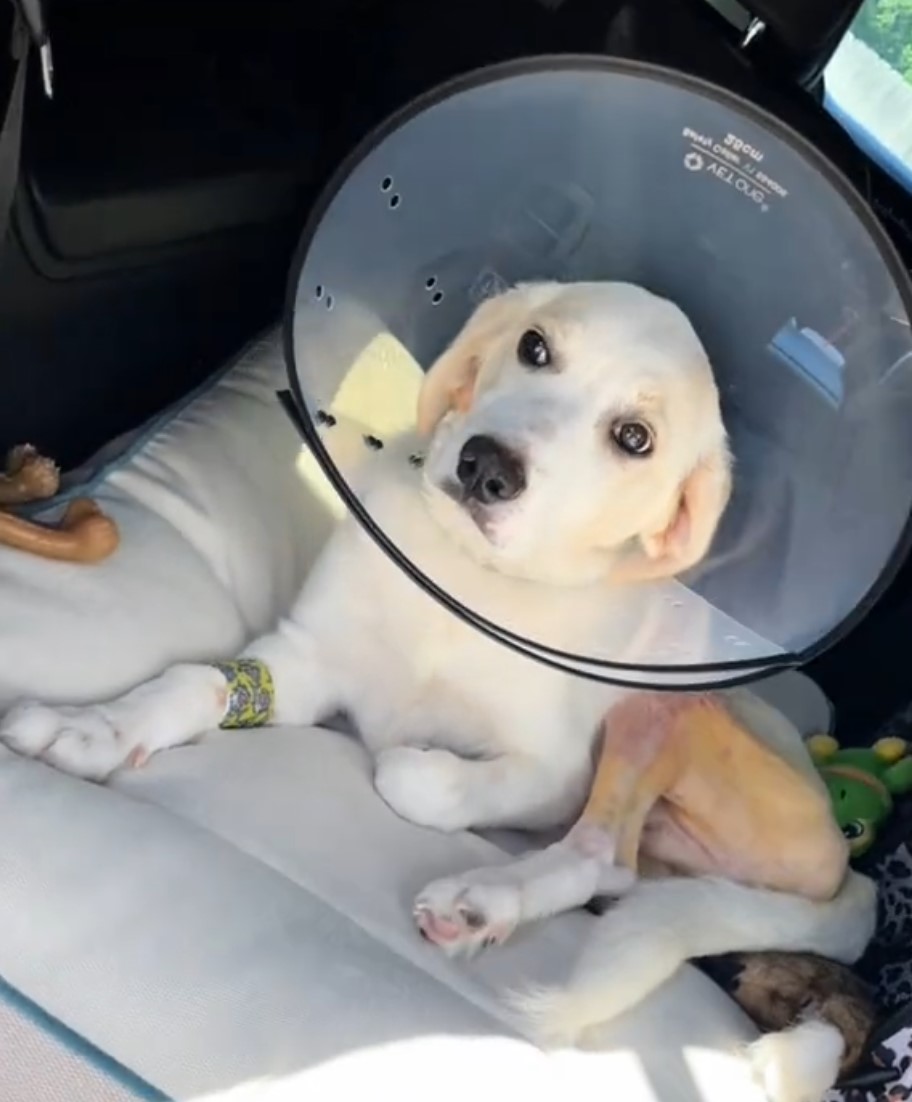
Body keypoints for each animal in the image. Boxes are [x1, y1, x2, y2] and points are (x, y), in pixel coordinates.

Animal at [0, 282, 876, 1084]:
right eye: (534, 347)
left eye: (635, 438)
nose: (487, 466)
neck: (467, 582)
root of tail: (847, 860)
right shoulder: (304, 659)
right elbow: (195, 683)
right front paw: (96, 728)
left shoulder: (555, 774)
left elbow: (410, 775)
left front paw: (418, 767)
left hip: (668, 714)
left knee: (603, 855)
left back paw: (481, 900)